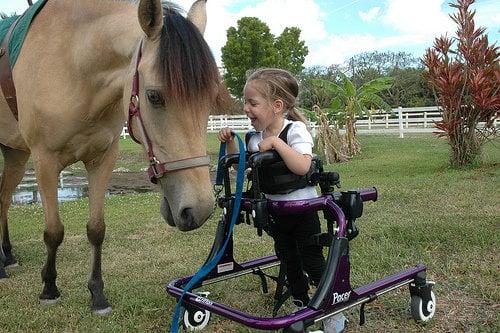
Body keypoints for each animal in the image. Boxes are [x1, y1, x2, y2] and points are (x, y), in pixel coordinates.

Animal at [0, 0, 228, 314]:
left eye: (210, 99)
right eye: (154, 96)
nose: (200, 209)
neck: (72, 60)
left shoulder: (102, 159)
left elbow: (97, 229)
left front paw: (97, 294)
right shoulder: (45, 160)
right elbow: (54, 231)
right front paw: (49, 288)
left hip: (16, 155)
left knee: (3, 200)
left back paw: (7, 256)